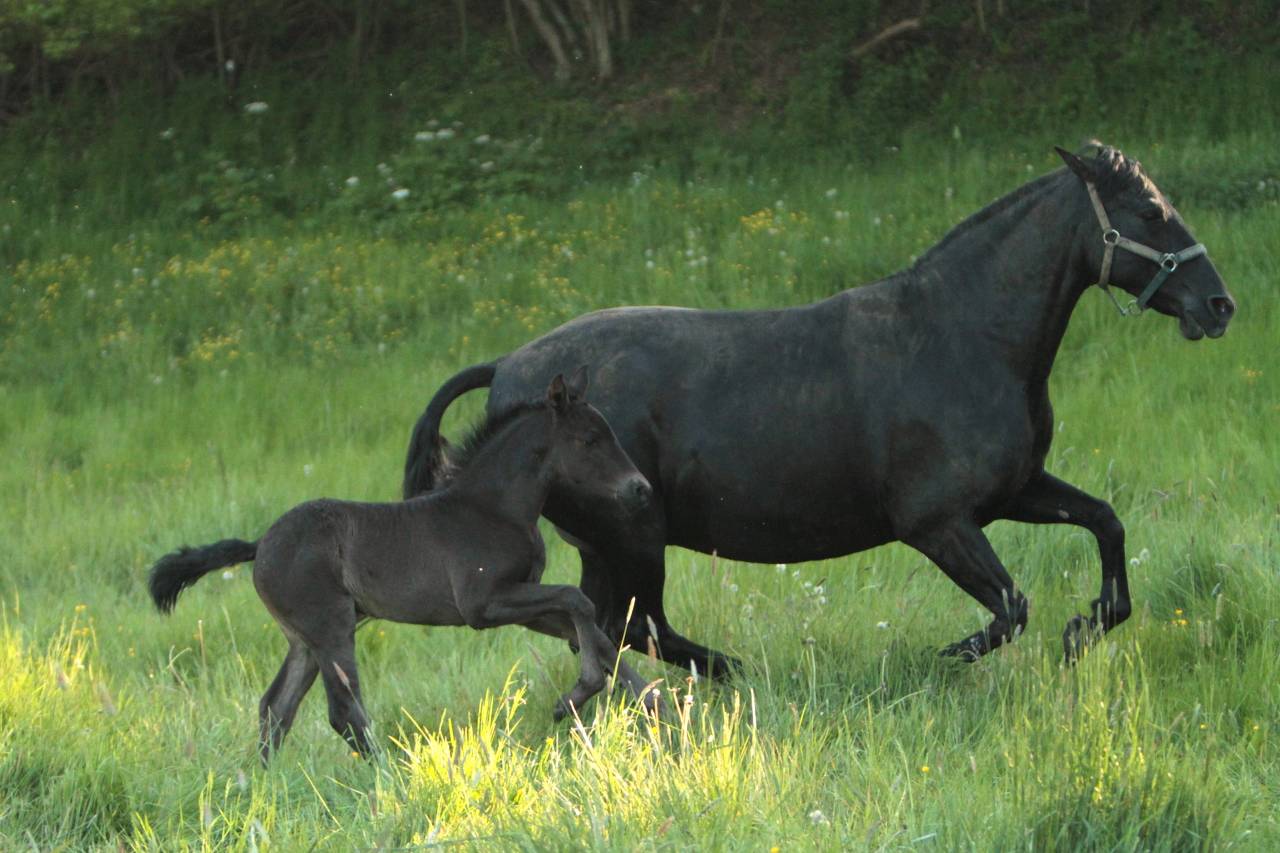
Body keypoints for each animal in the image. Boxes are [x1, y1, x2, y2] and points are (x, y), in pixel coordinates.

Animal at [148, 372, 655, 762]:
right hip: (331, 627)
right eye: (590, 440)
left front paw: (648, 703)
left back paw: (263, 782)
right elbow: (577, 599)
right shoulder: (483, 605)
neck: (493, 508)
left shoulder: (521, 605)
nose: (641, 489)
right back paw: (387, 775)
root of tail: (261, 545)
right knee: (342, 712)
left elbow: (589, 629)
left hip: (304, 639)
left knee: (276, 707)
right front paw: (578, 694)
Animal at [402, 143, 1236, 677]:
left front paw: (1084, 630)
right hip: (631, 533)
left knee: (612, 628)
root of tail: (510, 367)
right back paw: (739, 674)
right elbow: (1010, 607)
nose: (1219, 305)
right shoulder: (937, 522)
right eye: (1151, 210)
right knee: (635, 626)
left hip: (612, 543)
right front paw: (948, 656)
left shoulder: (1015, 491)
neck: (962, 337)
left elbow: (1106, 524)